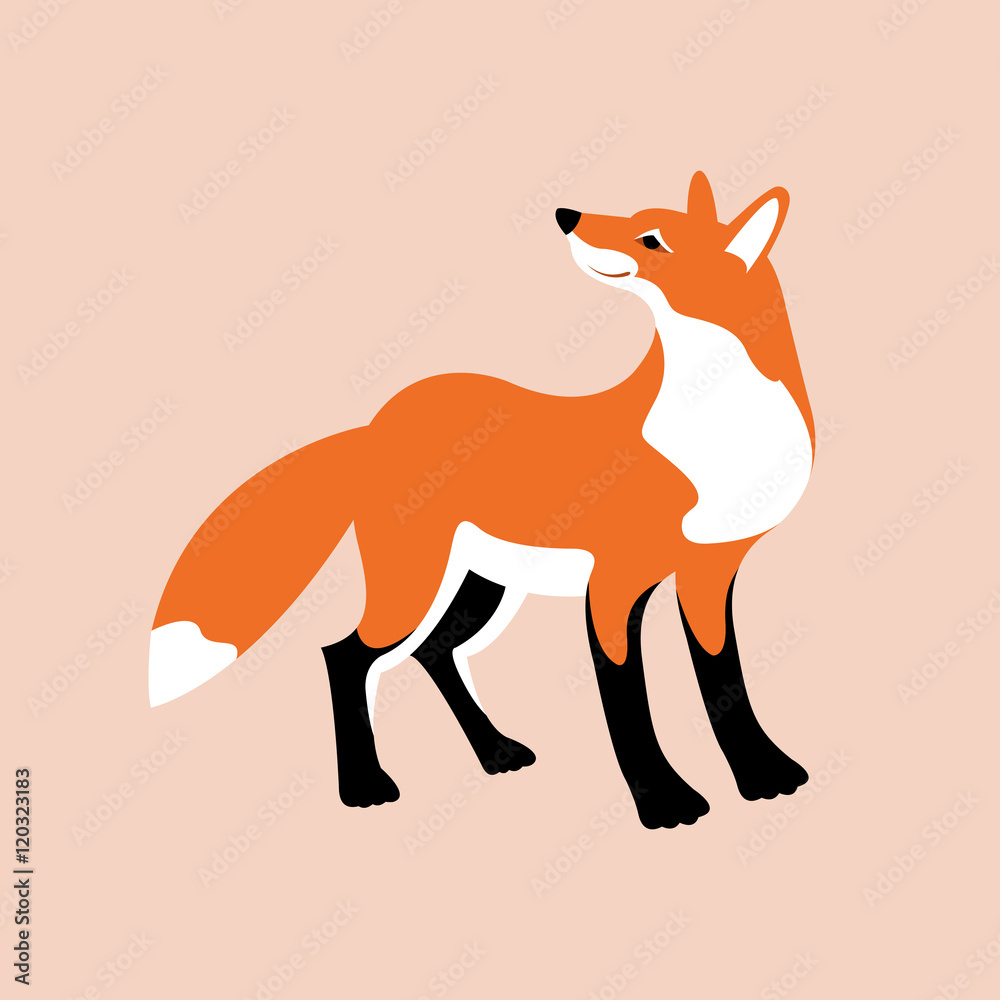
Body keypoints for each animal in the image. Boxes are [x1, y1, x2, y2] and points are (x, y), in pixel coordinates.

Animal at [149, 171, 814, 829]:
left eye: (652, 238)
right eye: (633, 222)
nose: (566, 216)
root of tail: (376, 424)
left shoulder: (710, 573)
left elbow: (725, 682)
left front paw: (764, 775)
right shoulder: (613, 584)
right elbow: (629, 703)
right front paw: (663, 802)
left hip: (482, 581)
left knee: (434, 651)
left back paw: (494, 752)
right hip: (414, 583)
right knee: (346, 655)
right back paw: (363, 785)